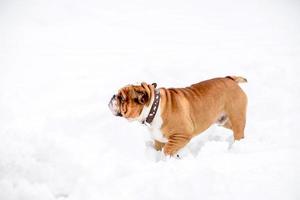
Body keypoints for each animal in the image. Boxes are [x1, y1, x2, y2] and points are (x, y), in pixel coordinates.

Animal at [109, 76, 247, 155]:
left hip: (236, 117)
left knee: (238, 132)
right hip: (223, 121)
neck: (154, 107)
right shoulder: (158, 140)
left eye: (122, 98)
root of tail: (230, 79)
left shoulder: (181, 135)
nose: (113, 96)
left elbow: (167, 150)